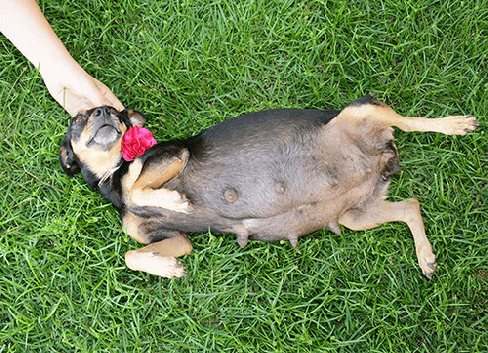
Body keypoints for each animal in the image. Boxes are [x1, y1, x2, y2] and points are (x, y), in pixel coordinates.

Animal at [59, 95, 478, 278]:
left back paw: (454, 124)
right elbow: (134, 255)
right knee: (410, 205)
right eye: (78, 120)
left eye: (117, 115)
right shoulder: (176, 240)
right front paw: (169, 268)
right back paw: (426, 257)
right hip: (359, 214)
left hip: (362, 110)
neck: (113, 173)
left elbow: (139, 187)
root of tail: (380, 157)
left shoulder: (172, 155)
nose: (104, 112)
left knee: (406, 120)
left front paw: (174, 201)